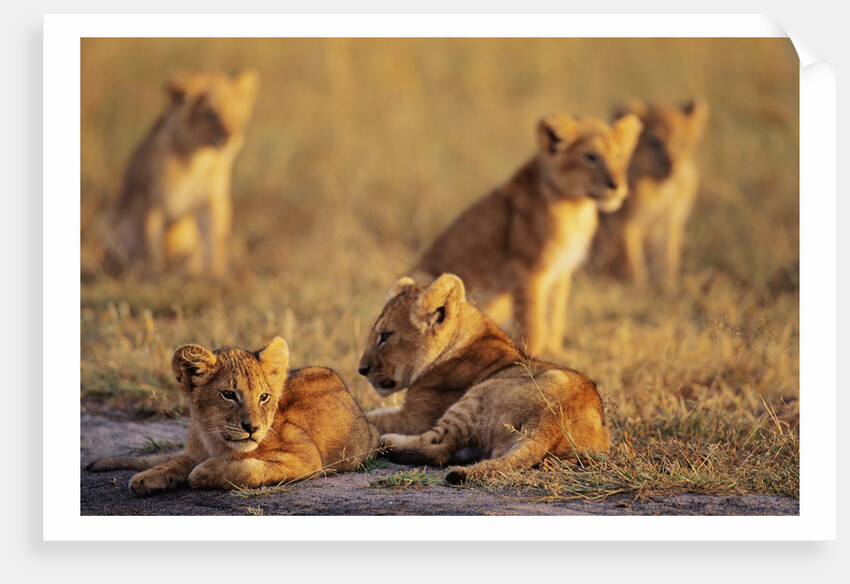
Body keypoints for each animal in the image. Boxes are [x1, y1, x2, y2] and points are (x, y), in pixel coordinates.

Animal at [86, 337, 380, 496]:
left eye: (264, 397)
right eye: (228, 395)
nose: (252, 427)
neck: (214, 440)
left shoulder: (306, 459)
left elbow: (246, 469)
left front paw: (203, 472)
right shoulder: (195, 451)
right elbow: (175, 462)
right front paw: (146, 478)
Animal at [101, 69, 259, 278]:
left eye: (237, 113)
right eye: (210, 115)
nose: (230, 138)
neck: (197, 160)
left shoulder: (212, 199)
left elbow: (215, 239)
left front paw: (216, 275)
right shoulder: (150, 201)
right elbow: (150, 244)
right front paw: (152, 275)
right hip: (113, 223)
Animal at [357, 273, 611, 484]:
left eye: (385, 336)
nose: (361, 369)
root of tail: (552, 418)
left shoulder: (415, 418)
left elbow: (372, 416)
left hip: (476, 395)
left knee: (439, 448)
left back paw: (385, 442)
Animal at [410, 112, 642, 356]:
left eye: (619, 156)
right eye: (590, 157)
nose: (615, 185)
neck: (577, 207)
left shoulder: (561, 270)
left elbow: (555, 315)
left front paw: (555, 351)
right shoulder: (527, 267)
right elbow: (533, 320)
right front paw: (532, 355)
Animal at [591, 98, 709, 291]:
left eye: (682, 143)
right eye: (655, 143)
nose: (672, 165)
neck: (663, 191)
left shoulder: (668, 224)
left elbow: (667, 259)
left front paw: (668, 286)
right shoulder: (623, 224)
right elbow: (632, 262)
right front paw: (639, 289)